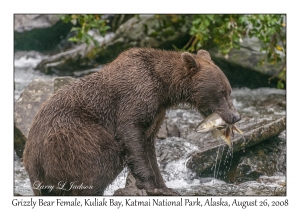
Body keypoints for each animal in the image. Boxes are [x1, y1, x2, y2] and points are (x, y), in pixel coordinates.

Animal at [22, 47, 240, 195]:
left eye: (229, 90)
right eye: (222, 92)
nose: (236, 116)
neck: (163, 88)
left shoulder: (157, 112)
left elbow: (149, 147)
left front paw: (165, 187)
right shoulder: (134, 98)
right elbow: (131, 135)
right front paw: (151, 186)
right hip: (73, 139)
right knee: (103, 159)